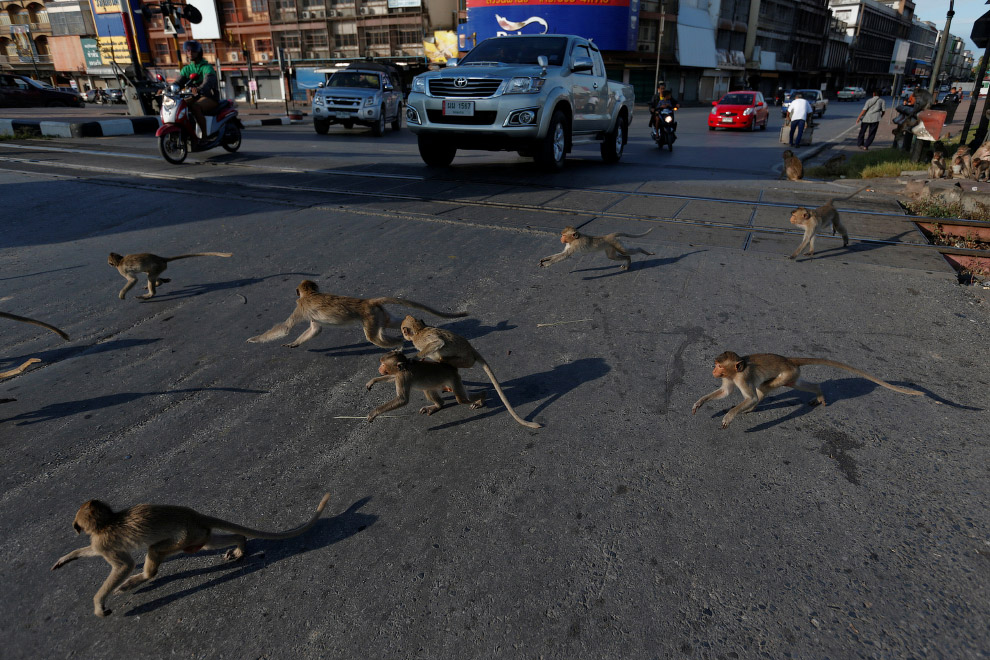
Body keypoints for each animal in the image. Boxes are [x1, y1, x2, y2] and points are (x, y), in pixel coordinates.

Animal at [51, 493, 331, 617]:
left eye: (78, 522)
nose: (75, 527)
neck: (106, 521)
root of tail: (194, 516)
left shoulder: (104, 543)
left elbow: (124, 565)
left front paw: (99, 604)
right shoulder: (98, 542)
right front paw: (68, 557)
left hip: (185, 535)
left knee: (154, 551)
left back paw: (141, 578)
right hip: (197, 535)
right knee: (209, 542)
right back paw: (240, 543)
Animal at [247, 280, 468, 349]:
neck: (311, 294)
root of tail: (369, 301)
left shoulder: (300, 307)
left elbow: (285, 328)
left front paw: (254, 339)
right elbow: (315, 330)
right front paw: (295, 343)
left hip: (369, 317)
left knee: (373, 337)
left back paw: (397, 344)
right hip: (378, 314)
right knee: (390, 323)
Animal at [400, 315, 542, 429]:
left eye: (403, 331)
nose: (403, 335)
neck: (420, 330)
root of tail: (471, 349)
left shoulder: (421, 340)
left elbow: (438, 342)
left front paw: (414, 358)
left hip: (466, 361)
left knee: (444, 360)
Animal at [691, 351, 923, 429]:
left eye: (719, 366)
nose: (713, 371)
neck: (737, 370)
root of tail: (789, 360)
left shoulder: (741, 377)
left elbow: (749, 396)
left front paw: (729, 416)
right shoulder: (730, 378)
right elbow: (726, 392)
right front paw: (700, 402)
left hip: (788, 374)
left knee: (764, 388)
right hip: (793, 374)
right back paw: (818, 391)